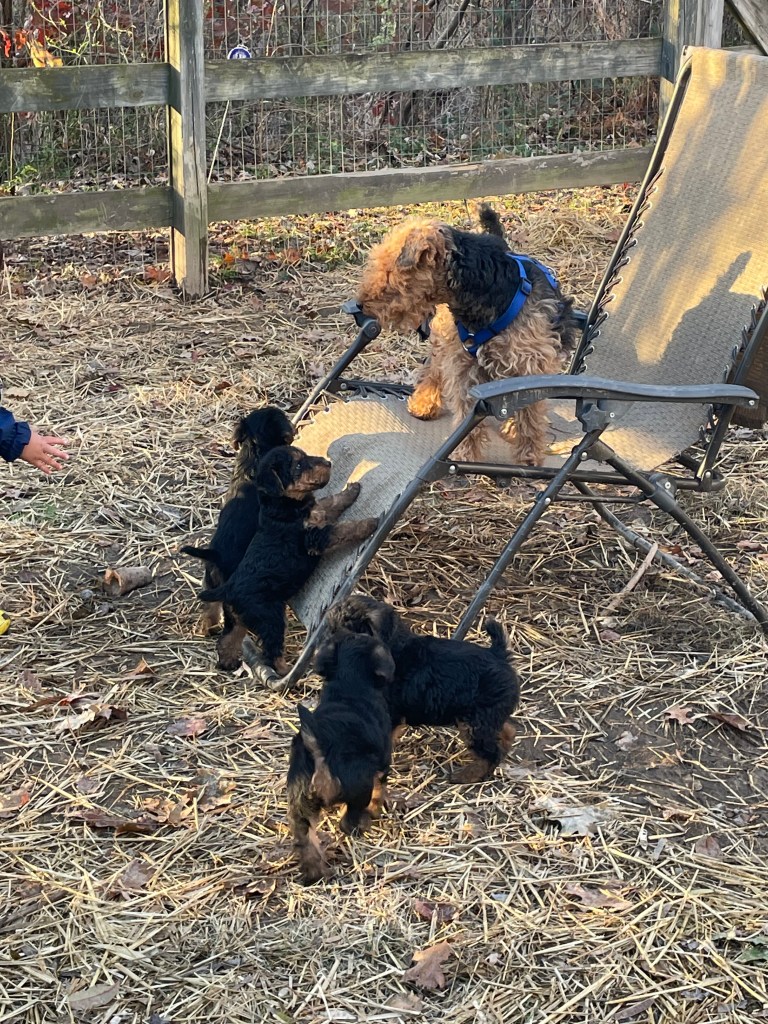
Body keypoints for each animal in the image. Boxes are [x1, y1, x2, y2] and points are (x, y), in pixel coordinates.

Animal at [198, 446, 379, 673]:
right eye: (298, 465)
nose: (328, 463)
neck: (283, 504)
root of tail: (228, 589)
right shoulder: (315, 538)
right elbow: (343, 528)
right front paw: (371, 523)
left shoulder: (317, 512)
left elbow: (332, 501)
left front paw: (353, 490)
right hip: (271, 619)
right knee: (270, 653)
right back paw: (285, 669)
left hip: (238, 618)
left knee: (227, 640)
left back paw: (228, 662)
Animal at [286, 631, 394, 884]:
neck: (350, 684)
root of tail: (320, 747)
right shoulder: (382, 764)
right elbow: (380, 789)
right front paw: (376, 809)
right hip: (358, 787)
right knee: (348, 821)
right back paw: (363, 825)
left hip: (299, 803)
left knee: (305, 840)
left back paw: (316, 873)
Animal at [325, 594, 520, 782]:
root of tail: (499, 655)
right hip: (487, 713)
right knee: (506, 730)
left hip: (474, 723)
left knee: (490, 753)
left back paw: (466, 775)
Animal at [357, 204, 578, 465]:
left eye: (389, 270)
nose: (360, 304)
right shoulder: (463, 367)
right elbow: (466, 414)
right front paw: (465, 454)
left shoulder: (530, 367)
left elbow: (530, 418)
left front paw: (529, 457)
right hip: (445, 342)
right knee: (433, 371)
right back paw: (422, 404)